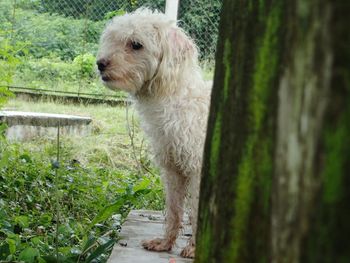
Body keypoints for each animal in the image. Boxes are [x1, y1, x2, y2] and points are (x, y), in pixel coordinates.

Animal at [95, 8, 211, 260]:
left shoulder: (198, 169)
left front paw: (194, 248)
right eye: (112, 39)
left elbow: (196, 210)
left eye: (136, 44)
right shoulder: (173, 169)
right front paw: (165, 243)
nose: (100, 64)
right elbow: (174, 210)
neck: (177, 98)